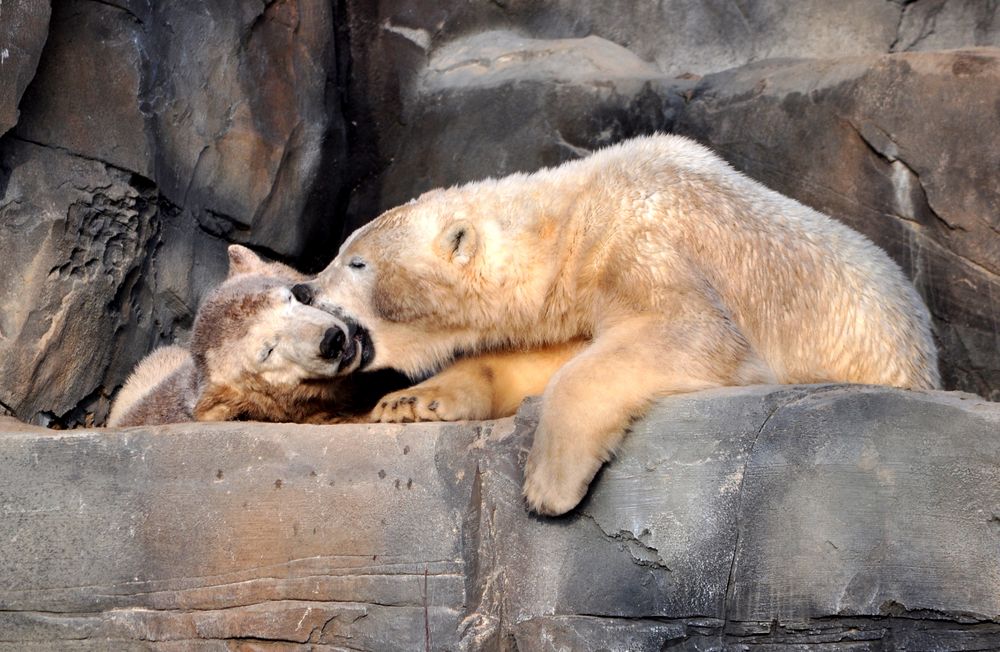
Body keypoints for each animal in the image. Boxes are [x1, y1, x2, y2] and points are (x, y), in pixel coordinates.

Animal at [308, 135, 940, 516]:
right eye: (339, 250)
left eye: (355, 261)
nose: (304, 289)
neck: (573, 219)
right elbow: (548, 356)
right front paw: (410, 401)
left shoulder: (647, 242)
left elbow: (692, 334)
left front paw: (548, 485)